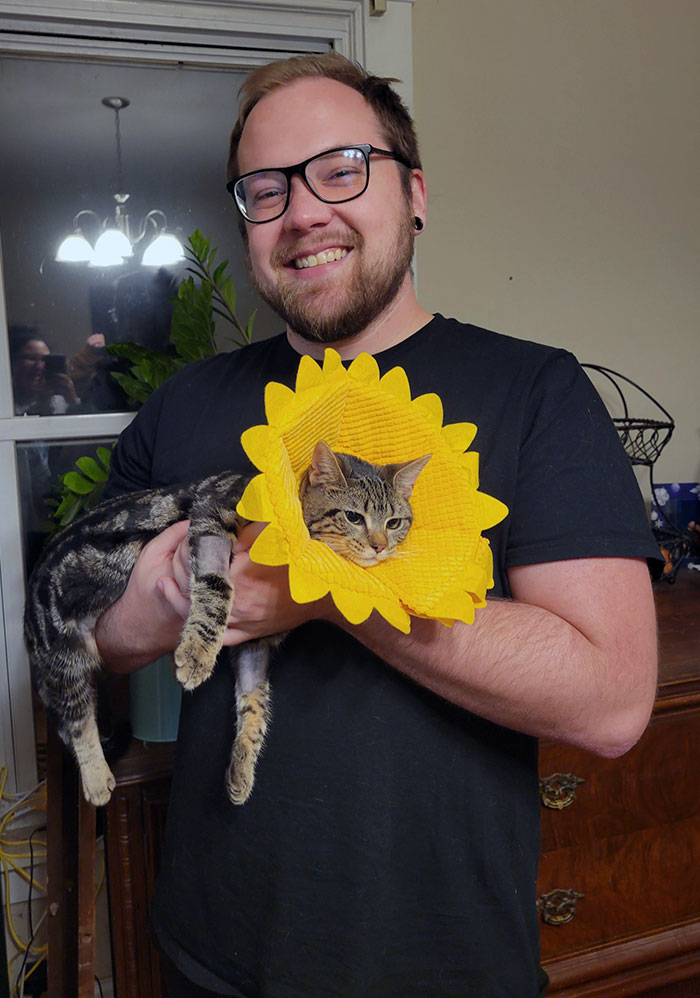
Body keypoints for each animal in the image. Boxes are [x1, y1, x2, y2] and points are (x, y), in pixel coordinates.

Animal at [24, 442, 430, 808]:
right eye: (353, 517)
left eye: (394, 522)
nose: (379, 545)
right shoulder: (213, 515)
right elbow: (217, 585)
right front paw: (197, 654)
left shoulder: (257, 644)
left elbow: (254, 708)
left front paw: (241, 769)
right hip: (64, 650)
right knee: (76, 716)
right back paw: (96, 778)